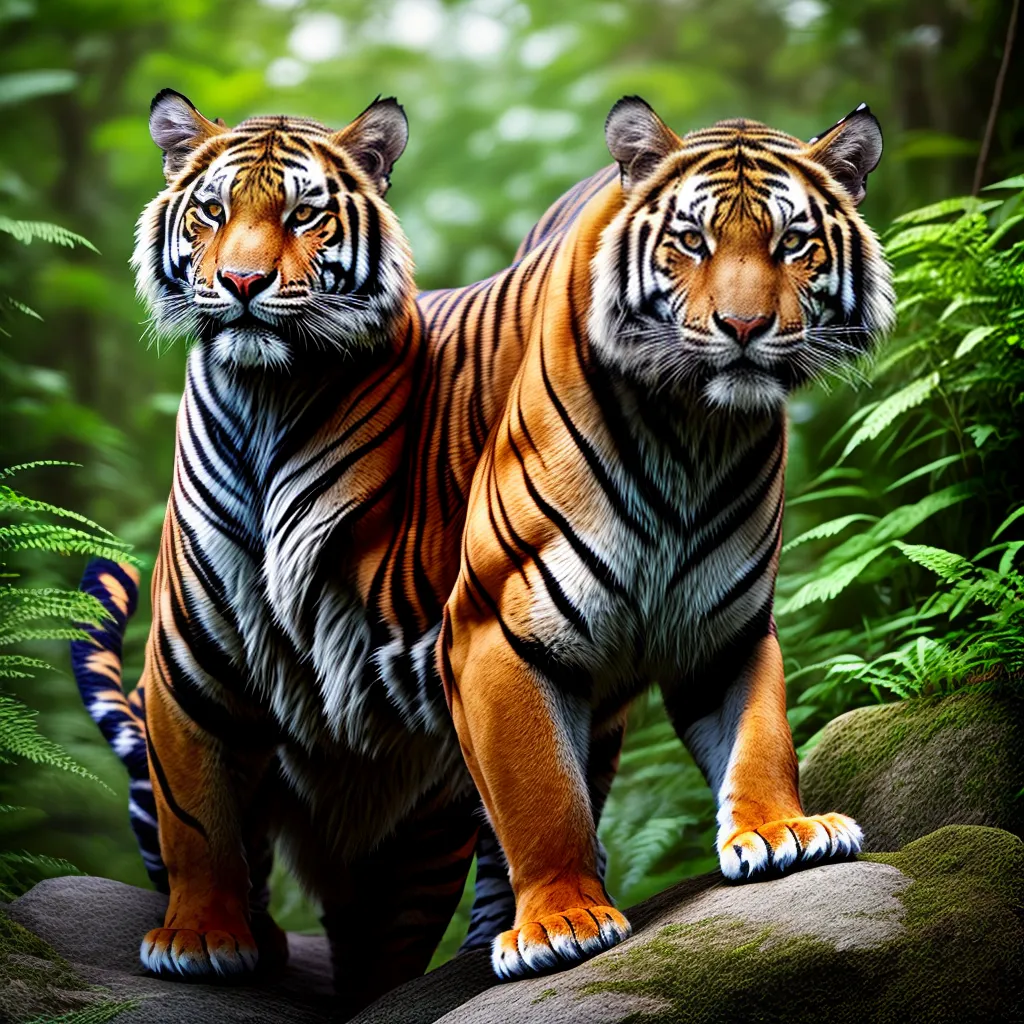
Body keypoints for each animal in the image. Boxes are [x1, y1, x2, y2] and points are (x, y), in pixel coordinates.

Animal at [438, 96, 897, 979]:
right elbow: (540, 795)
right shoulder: (495, 631)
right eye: (693, 241)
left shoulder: (728, 629)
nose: (745, 326)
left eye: (792, 243)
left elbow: (762, 737)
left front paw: (782, 831)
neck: (693, 431)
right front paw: (561, 920)